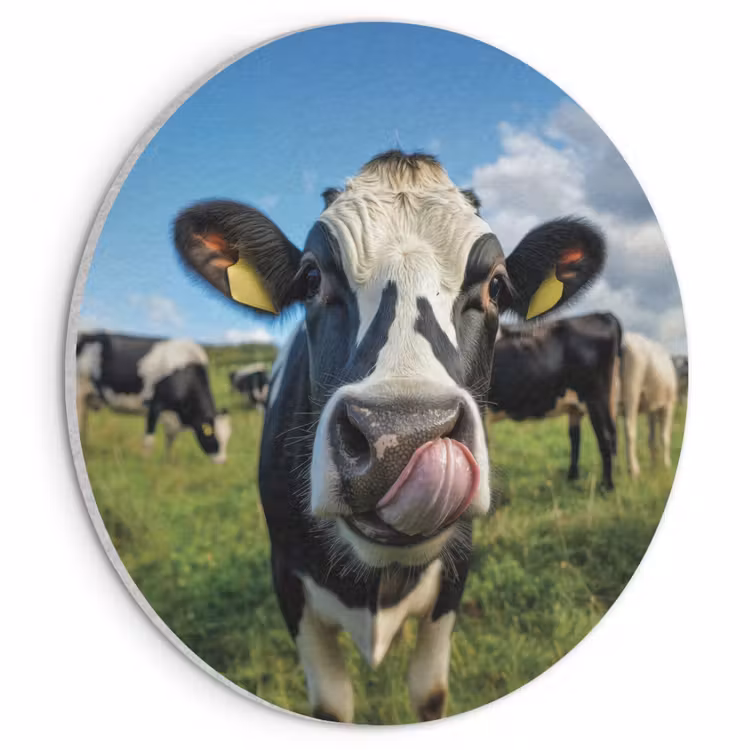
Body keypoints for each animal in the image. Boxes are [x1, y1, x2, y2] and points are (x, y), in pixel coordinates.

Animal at [75, 332, 231, 463]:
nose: (222, 461)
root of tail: (88, 334)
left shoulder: (173, 417)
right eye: (212, 436)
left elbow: (170, 441)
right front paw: (146, 462)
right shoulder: (155, 406)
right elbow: (149, 440)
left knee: (84, 421)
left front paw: (168, 462)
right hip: (79, 390)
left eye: (228, 437)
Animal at [173, 150, 605, 722]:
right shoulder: (288, 580)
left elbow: (430, 692)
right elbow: (332, 706)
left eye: (495, 285)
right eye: (311, 277)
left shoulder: (455, 574)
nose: (399, 439)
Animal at [486, 312, 622, 490]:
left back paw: (606, 486)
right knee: (584, 436)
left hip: (597, 397)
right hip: (599, 401)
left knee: (605, 436)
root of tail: (603, 315)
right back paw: (574, 477)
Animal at [619, 331, 678, 478]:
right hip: (632, 388)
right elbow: (665, 437)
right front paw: (666, 465)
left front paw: (654, 465)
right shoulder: (669, 405)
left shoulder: (651, 408)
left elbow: (651, 438)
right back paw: (634, 470)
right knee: (629, 428)